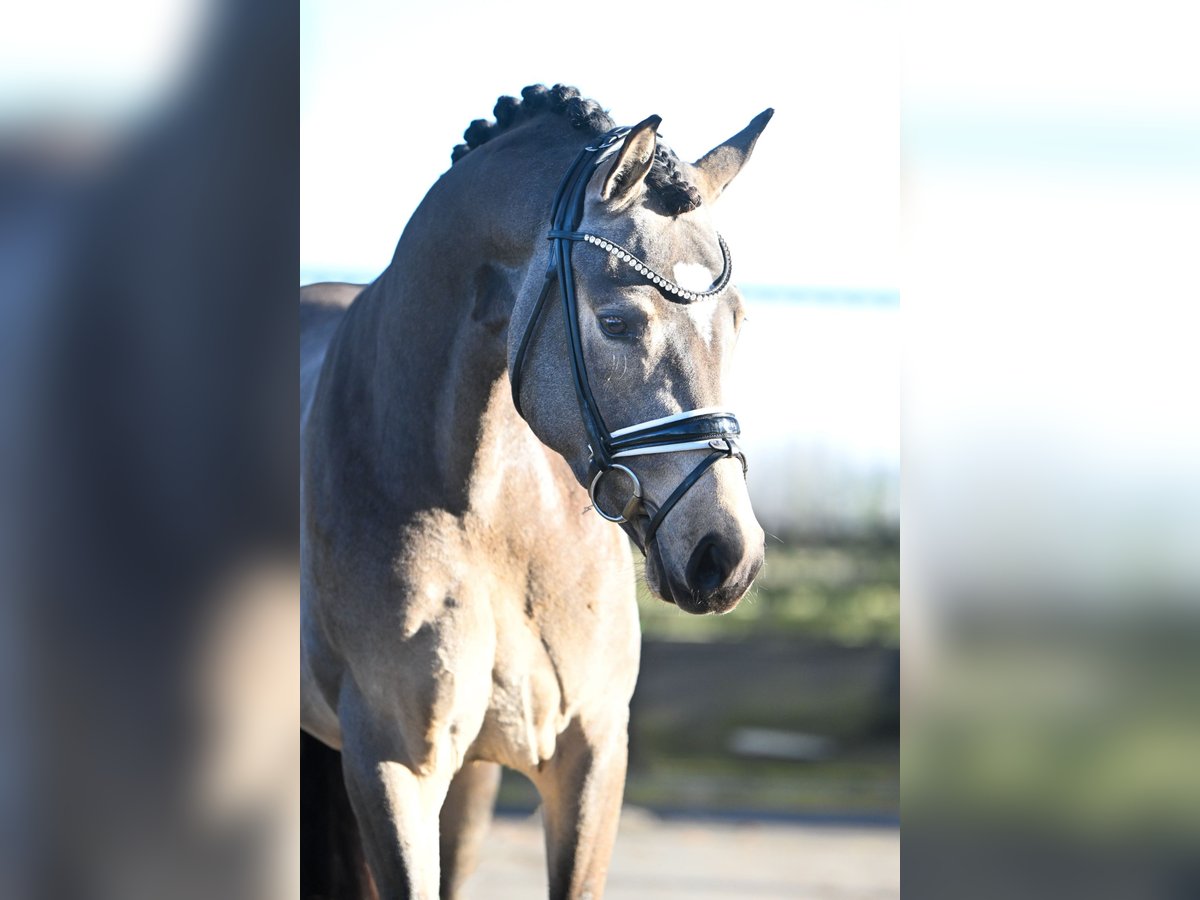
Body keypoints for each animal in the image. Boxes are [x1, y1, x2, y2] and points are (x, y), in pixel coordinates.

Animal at [298, 82, 768, 897]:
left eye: (736, 322)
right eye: (617, 322)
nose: (725, 554)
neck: (486, 514)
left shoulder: (590, 755)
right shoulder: (392, 771)